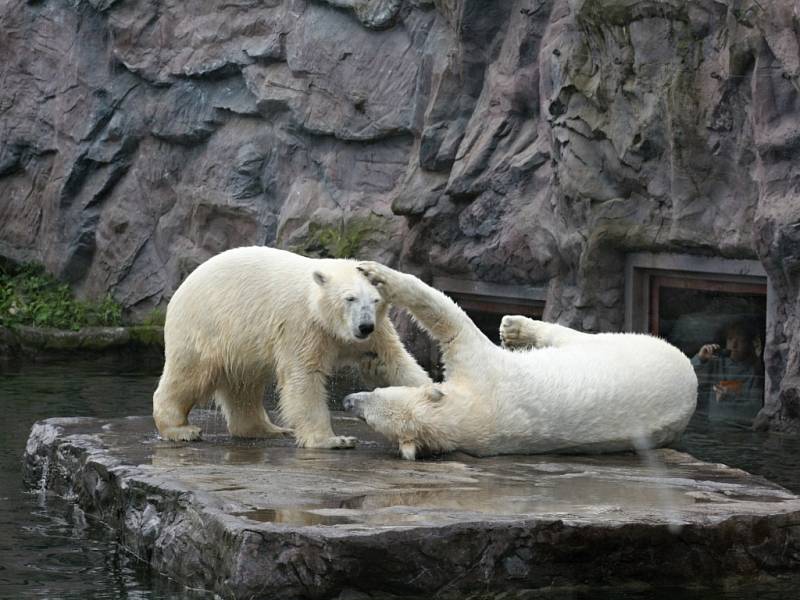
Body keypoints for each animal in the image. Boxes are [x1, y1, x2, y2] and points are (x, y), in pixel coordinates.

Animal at [154, 246, 434, 448]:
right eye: (350, 298)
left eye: (376, 300)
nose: (364, 326)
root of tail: (182, 287)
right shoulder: (302, 325)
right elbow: (304, 377)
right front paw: (333, 440)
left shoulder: (377, 330)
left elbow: (396, 362)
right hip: (207, 326)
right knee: (191, 375)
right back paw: (181, 429)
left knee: (243, 385)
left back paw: (269, 429)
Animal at [346, 262, 696, 460]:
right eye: (370, 417)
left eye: (374, 403)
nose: (350, 401)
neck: (475, 414)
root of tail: (691, 381)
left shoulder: (482, 371)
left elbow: (451, 322)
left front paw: (377, 273)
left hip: (628, 347)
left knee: (576, 339)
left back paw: (515, 327)